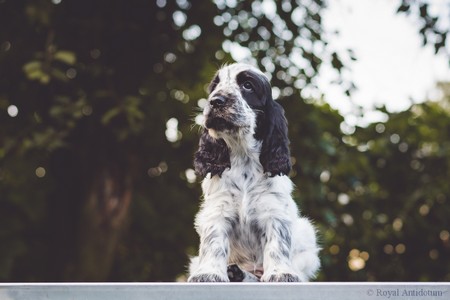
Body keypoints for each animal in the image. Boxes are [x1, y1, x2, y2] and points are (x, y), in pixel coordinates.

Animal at [187, 62, 320, 282]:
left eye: (247, 85)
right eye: (215, 86)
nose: (215, 101)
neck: (243, 156)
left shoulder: (274, 211)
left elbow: (277, 245)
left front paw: (281, 273)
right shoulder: (218, 209)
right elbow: (214, 243)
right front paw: (208, 274)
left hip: (306, 234)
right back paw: (234, 272)